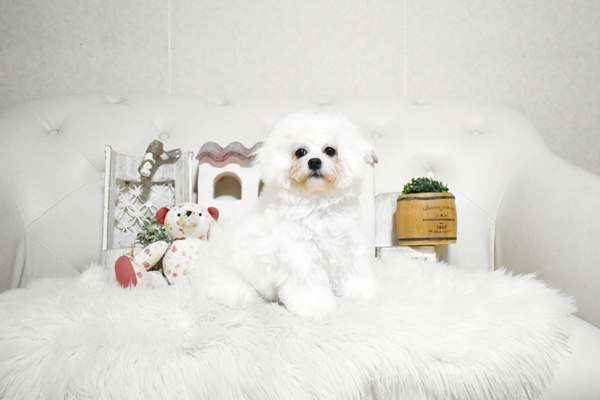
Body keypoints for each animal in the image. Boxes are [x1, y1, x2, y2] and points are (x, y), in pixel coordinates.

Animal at [198, 112, 378, 319]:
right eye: (300, 152)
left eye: (330, 150)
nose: (314, 161)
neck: (316, 204)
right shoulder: (300, 256)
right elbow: (309, 286)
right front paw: (316, 307)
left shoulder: (349, 245)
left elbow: (355, 271)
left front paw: (361, 293)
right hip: (230, 280)